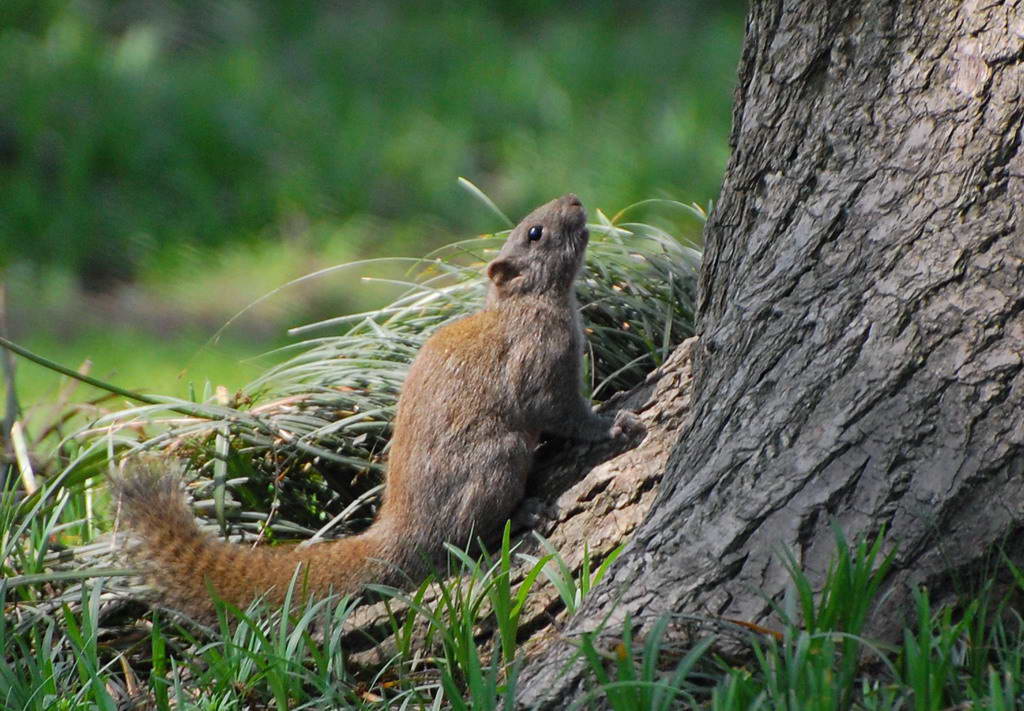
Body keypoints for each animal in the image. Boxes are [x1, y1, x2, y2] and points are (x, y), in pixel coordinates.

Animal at [110, 194, 638, 618]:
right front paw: (611, 425)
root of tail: (401, 531)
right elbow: (558, 411)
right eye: (534, 233)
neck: (524, 304)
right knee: (465, 535)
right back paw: (522, 513)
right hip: (497, 458)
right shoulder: (538, 365)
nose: (574, 200)